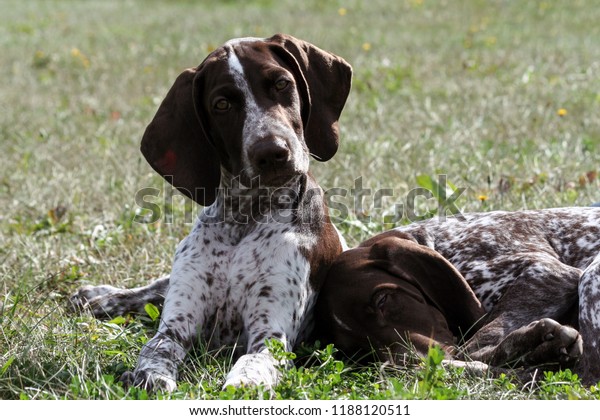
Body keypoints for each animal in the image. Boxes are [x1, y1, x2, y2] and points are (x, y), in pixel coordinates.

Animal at [70, 34, 352, 392]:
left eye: (282, 84)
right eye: (222, 105)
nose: (272, 153)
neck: (243, 219)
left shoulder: (269, 336)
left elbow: (249, 369)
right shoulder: (176, 324)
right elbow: (156, 349)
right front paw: (150, 376)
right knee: (154, 288)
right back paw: (97, 297)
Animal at [318, 207, 600, 384]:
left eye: (382, 300)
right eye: (361, 351)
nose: (407, 365)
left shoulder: (548, 273)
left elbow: (475, 344)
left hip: (590, 277)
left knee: (587, 375)